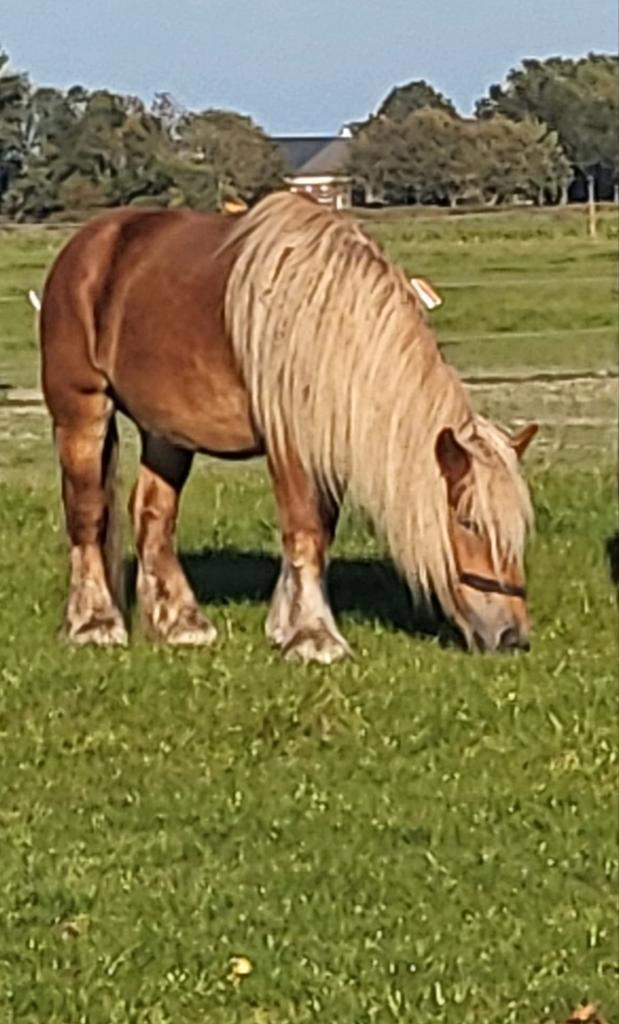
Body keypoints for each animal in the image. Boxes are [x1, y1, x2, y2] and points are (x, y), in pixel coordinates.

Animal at [39, 191, 537, 663]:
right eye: (469, 522)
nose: (512, 636)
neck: (327, 323)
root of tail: (88, 245)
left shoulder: (327, 447)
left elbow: (319, 534)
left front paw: (285, 625)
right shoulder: (290, 445)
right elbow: (304, 531)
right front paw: (315, 638)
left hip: (166, 434)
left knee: (152, 514)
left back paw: (181, 624)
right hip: (82, 411)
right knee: (88, 514)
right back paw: (95, 625)